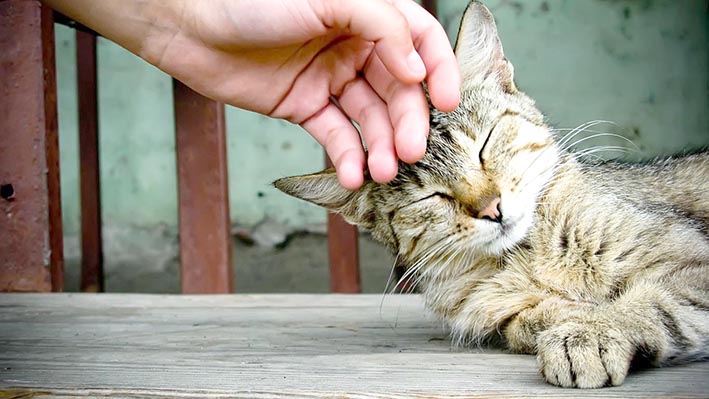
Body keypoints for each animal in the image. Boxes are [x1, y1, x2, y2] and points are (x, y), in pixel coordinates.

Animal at [272, 0, 708, 388]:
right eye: (431, 197)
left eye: (484, 145)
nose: (491, 208)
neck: (526, 257)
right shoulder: (498, 312)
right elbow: (524, 322)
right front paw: (566, 318)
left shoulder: (694, 262)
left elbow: (651, 302)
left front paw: (592, 331)